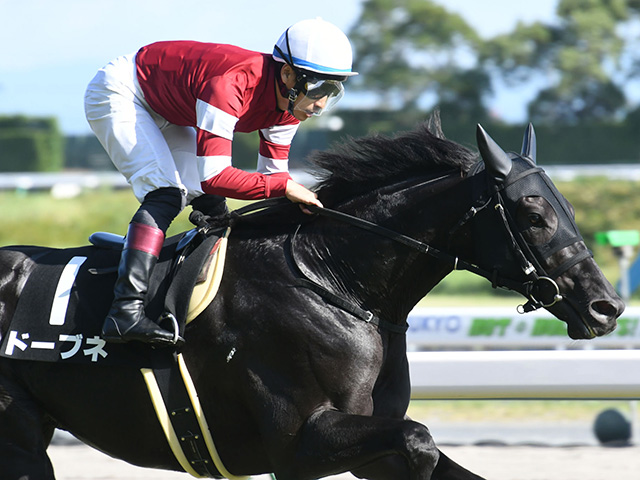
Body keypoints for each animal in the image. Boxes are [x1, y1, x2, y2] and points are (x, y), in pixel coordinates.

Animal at [0, 120, 624, 480]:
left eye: (568, 207)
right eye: (534, 215)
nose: (608, 307)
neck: (337, 282)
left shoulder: (371, 439)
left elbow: (426, 451)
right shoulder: (298, 445)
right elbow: (419, 440)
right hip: (21, 438)